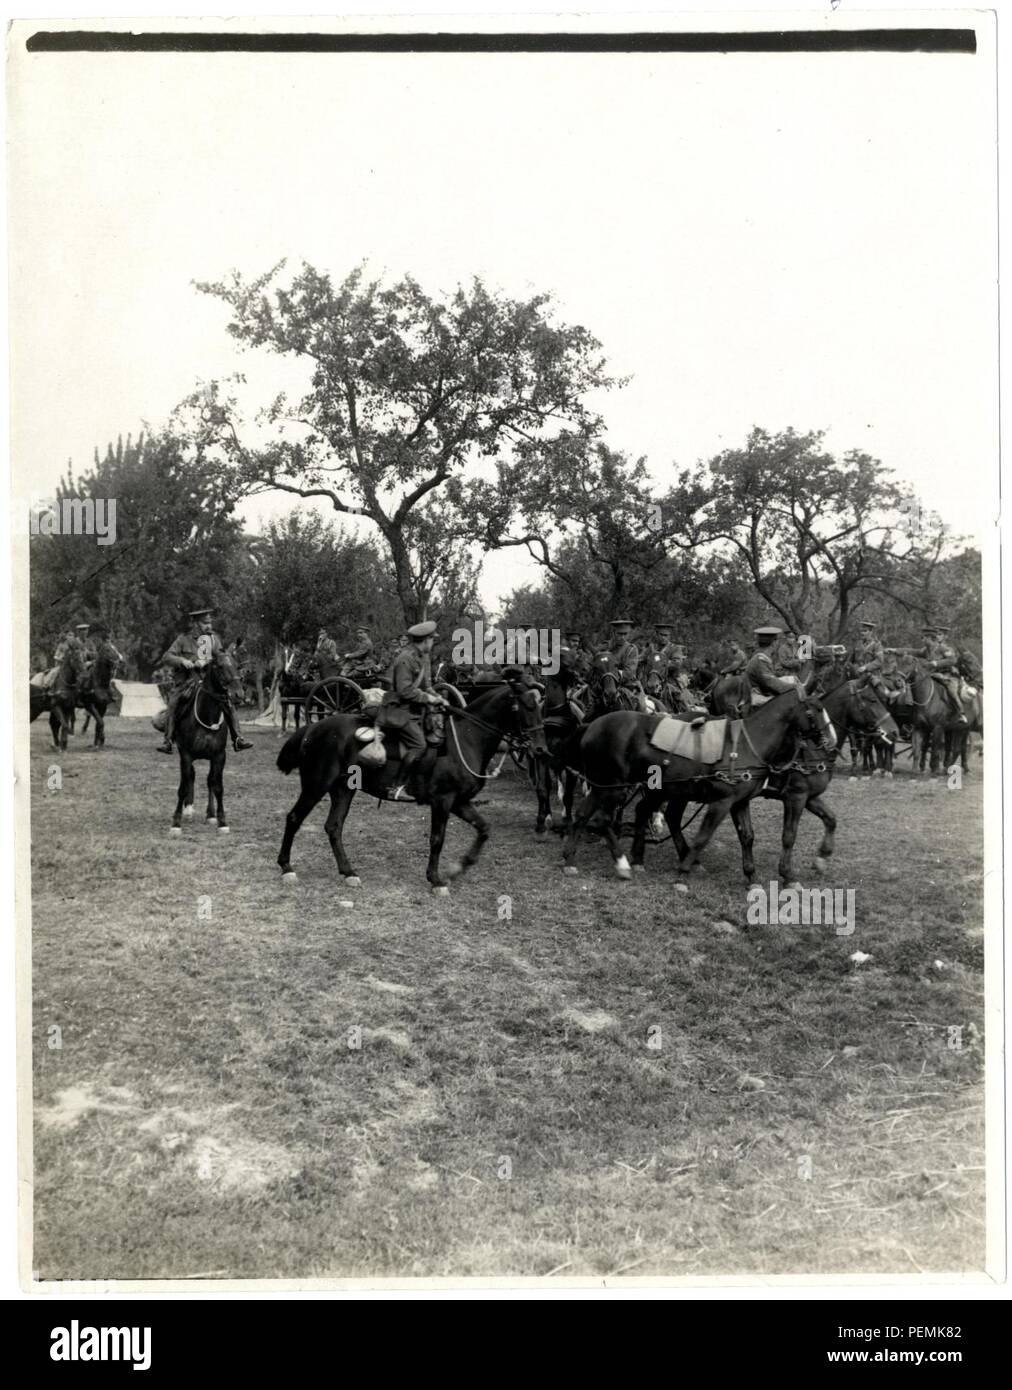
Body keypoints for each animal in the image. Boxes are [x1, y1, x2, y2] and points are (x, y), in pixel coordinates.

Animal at [168, 650, 244, 834]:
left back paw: (210, 814)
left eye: (237, 665)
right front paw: (176, 823)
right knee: (190, 777)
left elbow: (217, 786)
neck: (207, 715)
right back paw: (188, 809)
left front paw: (222, 821)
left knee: (209, 780)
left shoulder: (219, 756)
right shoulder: (186, 755)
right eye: (220, 666)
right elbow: (183, 787)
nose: (238, 694)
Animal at [275, 678, 544, 895]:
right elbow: (437, 839)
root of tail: (313, 728)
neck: (467, 739)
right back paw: (287, 867)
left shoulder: (459, 802)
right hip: (316, 786)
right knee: (294, 818)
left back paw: (348, 872)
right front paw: (436, 880)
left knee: (333, 827)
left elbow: (484, 828)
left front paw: (458, 867)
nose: (540, 748)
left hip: (343, 790)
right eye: (526, 707)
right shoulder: (442, 801)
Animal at [561, 683, 828, 878]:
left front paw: (752, 877)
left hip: (625, 787)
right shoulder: (723, 801)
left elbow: (748, 836)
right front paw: (684, 871)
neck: (747, 743)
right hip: (614, 786)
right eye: (815, 709)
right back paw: (621, 863)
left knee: (593, 814)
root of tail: (591, 726)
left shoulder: (740, 801)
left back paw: (575, 859)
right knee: (602, 818)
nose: (826, 740)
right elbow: (704, 836)